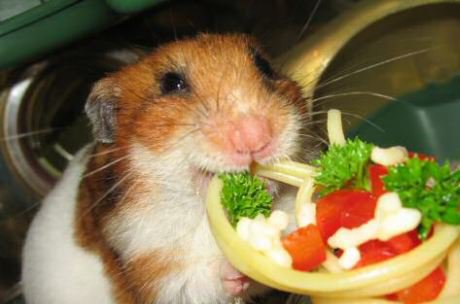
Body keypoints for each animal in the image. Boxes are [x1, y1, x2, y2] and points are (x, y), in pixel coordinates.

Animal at [20, 33, 316, 304]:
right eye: (171, 83)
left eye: (264, 66)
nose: (257, 136)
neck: (201, 212)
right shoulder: (152, 267)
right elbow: (200, 282)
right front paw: (240, 261)